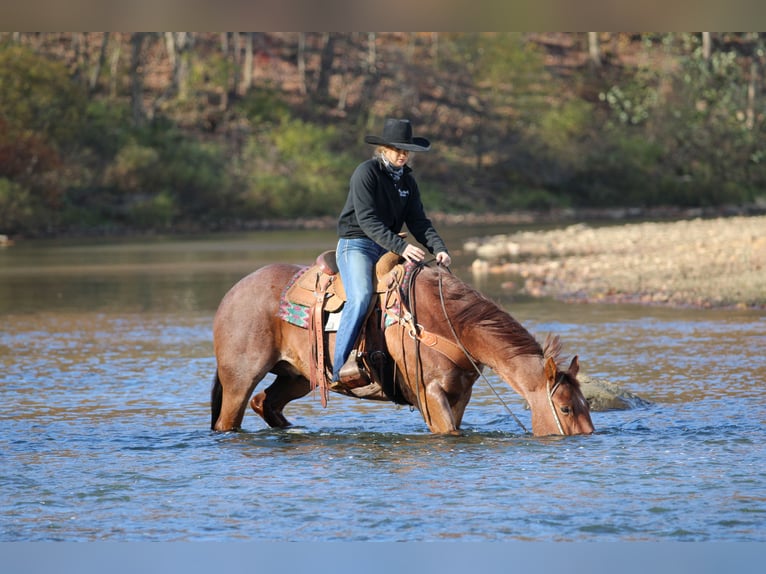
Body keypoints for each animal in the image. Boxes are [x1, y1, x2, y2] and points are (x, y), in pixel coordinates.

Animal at [211, 260, 594, 436]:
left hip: (299, 377)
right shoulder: (428, 392)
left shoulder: (460, 394)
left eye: (586, 404)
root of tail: (230, 295)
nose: (588, 437)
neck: (446, 322)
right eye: (564, 408)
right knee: (231, 417)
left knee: (266, 402)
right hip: (239, 379)